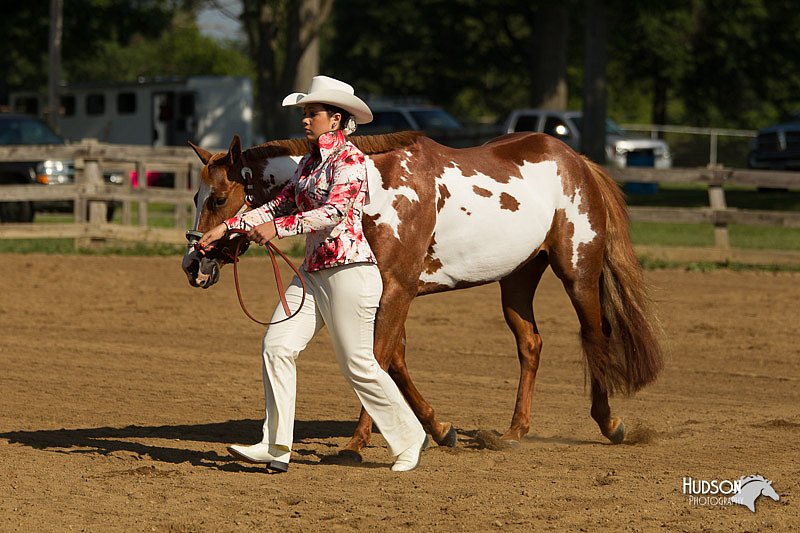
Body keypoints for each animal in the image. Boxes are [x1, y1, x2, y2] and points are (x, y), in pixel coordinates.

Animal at [181, 130, 664, 462]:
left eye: (219, 197)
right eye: (196, 195)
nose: (192, 264)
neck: (375, 190)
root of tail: (577, 160)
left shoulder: (397, 288)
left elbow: (377, 358)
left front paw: (357, 443)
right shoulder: (389, 293)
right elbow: (393, 359)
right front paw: (439, 429)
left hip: (578, 272)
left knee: (595, 335)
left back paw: (610, 423)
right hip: (517, 278)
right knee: (530, 344)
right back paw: (513, 432)